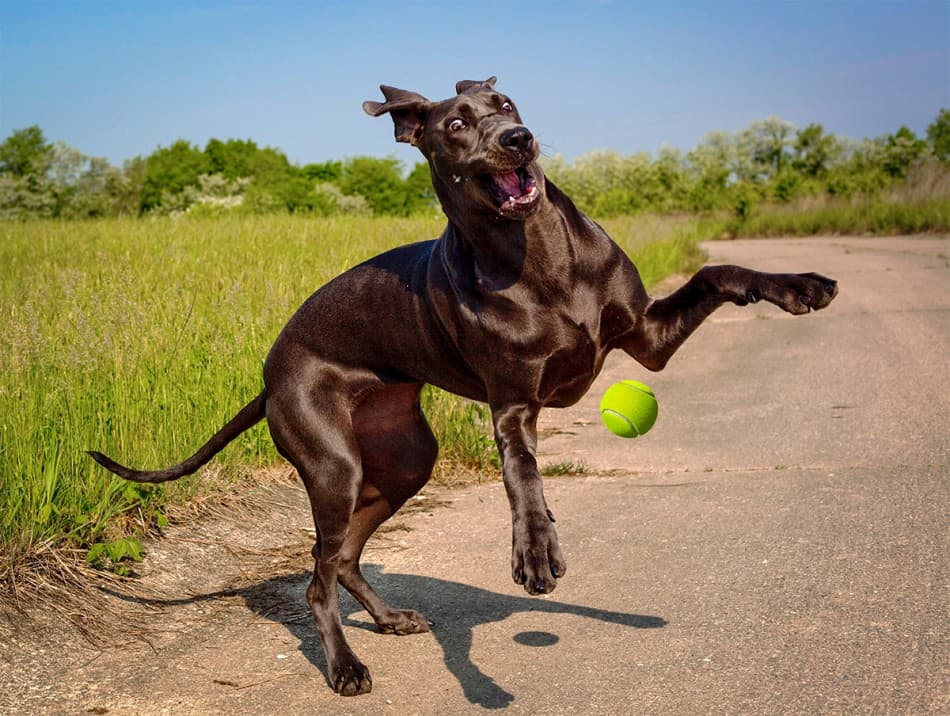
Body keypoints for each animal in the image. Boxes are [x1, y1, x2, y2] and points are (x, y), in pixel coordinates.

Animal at [87, 77, 832, 692]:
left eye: (506, 103)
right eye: (454, 124)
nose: (517, 139)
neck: (539, 254)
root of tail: (270, 373)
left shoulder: (648, 339)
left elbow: (718, 271)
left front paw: (799, 285)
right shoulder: (514, 405)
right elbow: (524, 475)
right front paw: (534, 549)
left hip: (406, 460)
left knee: (343, 556)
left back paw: (389, 618)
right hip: (332, 465)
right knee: (318, 577)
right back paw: (345, 665)